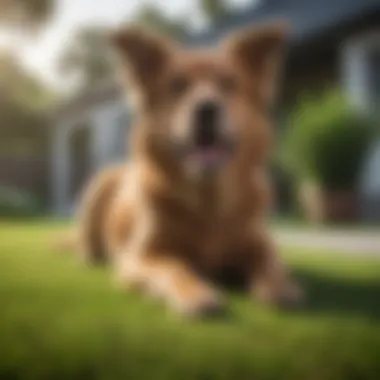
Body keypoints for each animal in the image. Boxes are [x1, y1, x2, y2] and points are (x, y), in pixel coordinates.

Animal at [75, 22, 302, 316]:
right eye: (177, 85)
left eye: (229, 83)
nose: (206, 109)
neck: (207, 203)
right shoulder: (141, 256)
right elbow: (175, 266)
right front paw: (195, 294)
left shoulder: (260, 242)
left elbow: (271, 263)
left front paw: (282, 288)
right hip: (97, 188)